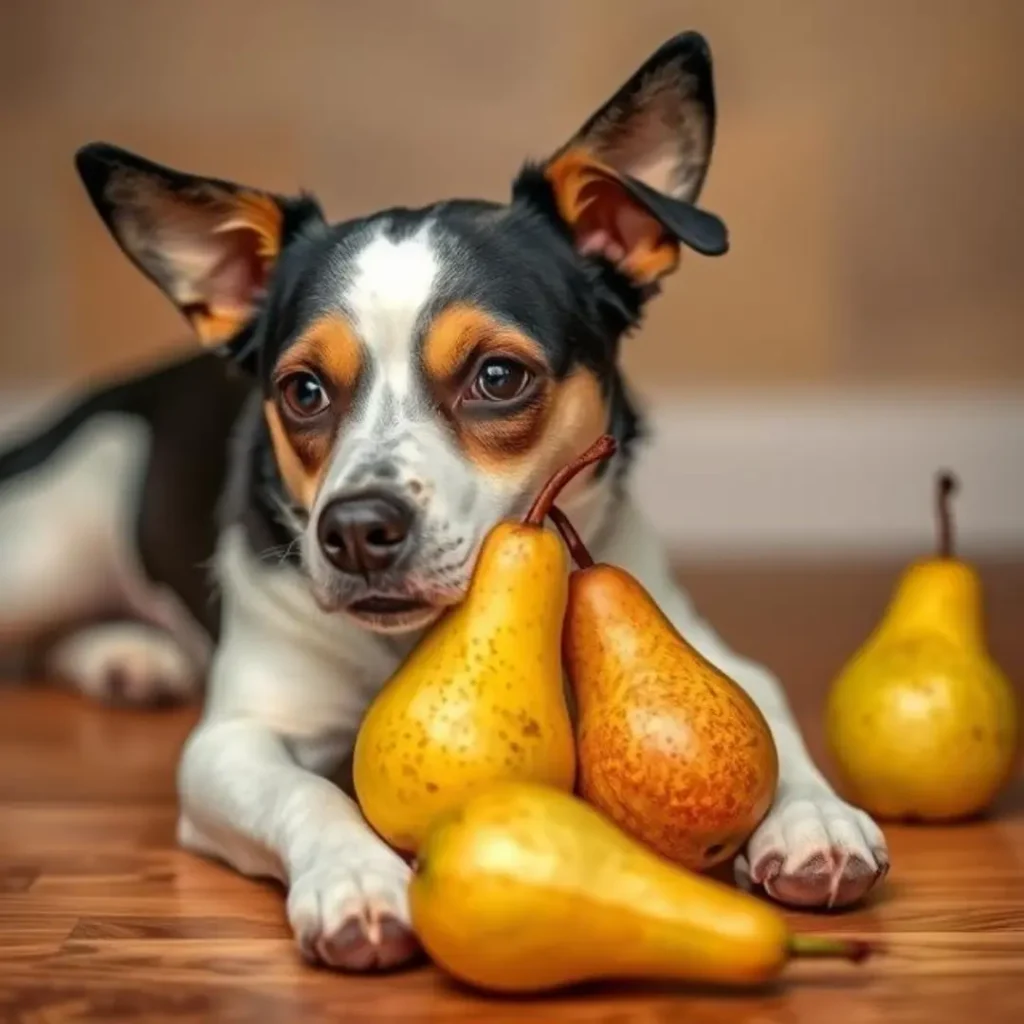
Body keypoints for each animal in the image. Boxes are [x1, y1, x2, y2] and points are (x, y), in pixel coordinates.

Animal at [0, 34, 884, 966]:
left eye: (498, 376)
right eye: (304, 391)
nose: (355, 530)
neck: (409, 642)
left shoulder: (706, 648)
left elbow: (770, 717)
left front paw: (814, 816)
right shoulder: (231, 742)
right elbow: (309, 793)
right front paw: (356, 879)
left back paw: (128, 657)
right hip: (43, 552)